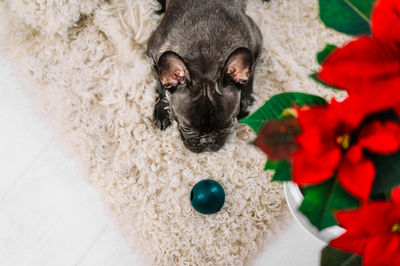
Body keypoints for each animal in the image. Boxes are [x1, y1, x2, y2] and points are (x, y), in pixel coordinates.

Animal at [147, 0, 262, 153]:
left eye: (228, 125)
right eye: (186, 128)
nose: (207, 142)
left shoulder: (256, 44)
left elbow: (251, 73)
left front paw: (245, 100)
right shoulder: (153, 56)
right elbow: (161, 84)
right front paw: (162, 110)